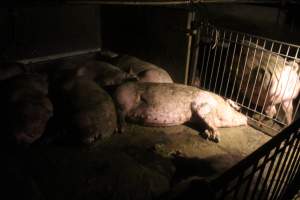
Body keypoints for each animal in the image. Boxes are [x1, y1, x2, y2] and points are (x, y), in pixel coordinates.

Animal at [113, 81, 247, 142]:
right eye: (232, 108)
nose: (246, 118)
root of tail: (116, 87)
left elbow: (207, 125)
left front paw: (207, 135)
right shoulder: (201, 106)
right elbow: (210, 122)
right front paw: (217, 138)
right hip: (124, 99)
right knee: (120, 113)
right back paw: (122, 129)